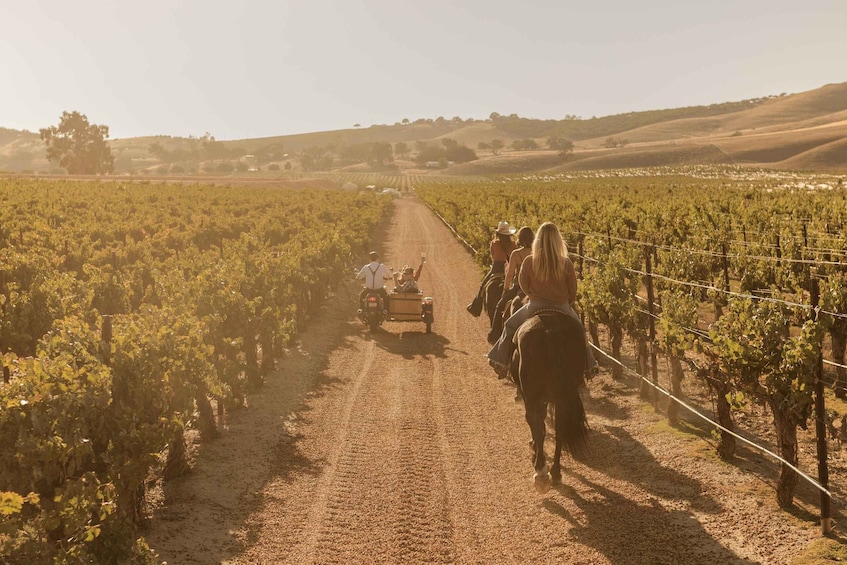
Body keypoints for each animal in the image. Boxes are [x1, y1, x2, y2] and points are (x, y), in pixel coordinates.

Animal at [510, 310, 588, 492]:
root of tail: (551, 332)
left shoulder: (531, 397)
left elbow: (535, 424)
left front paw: (534, 449)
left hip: (533, 395)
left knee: (537, 424)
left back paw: (540, 472)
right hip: (562, 398)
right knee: (560, 429)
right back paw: (556, 473)